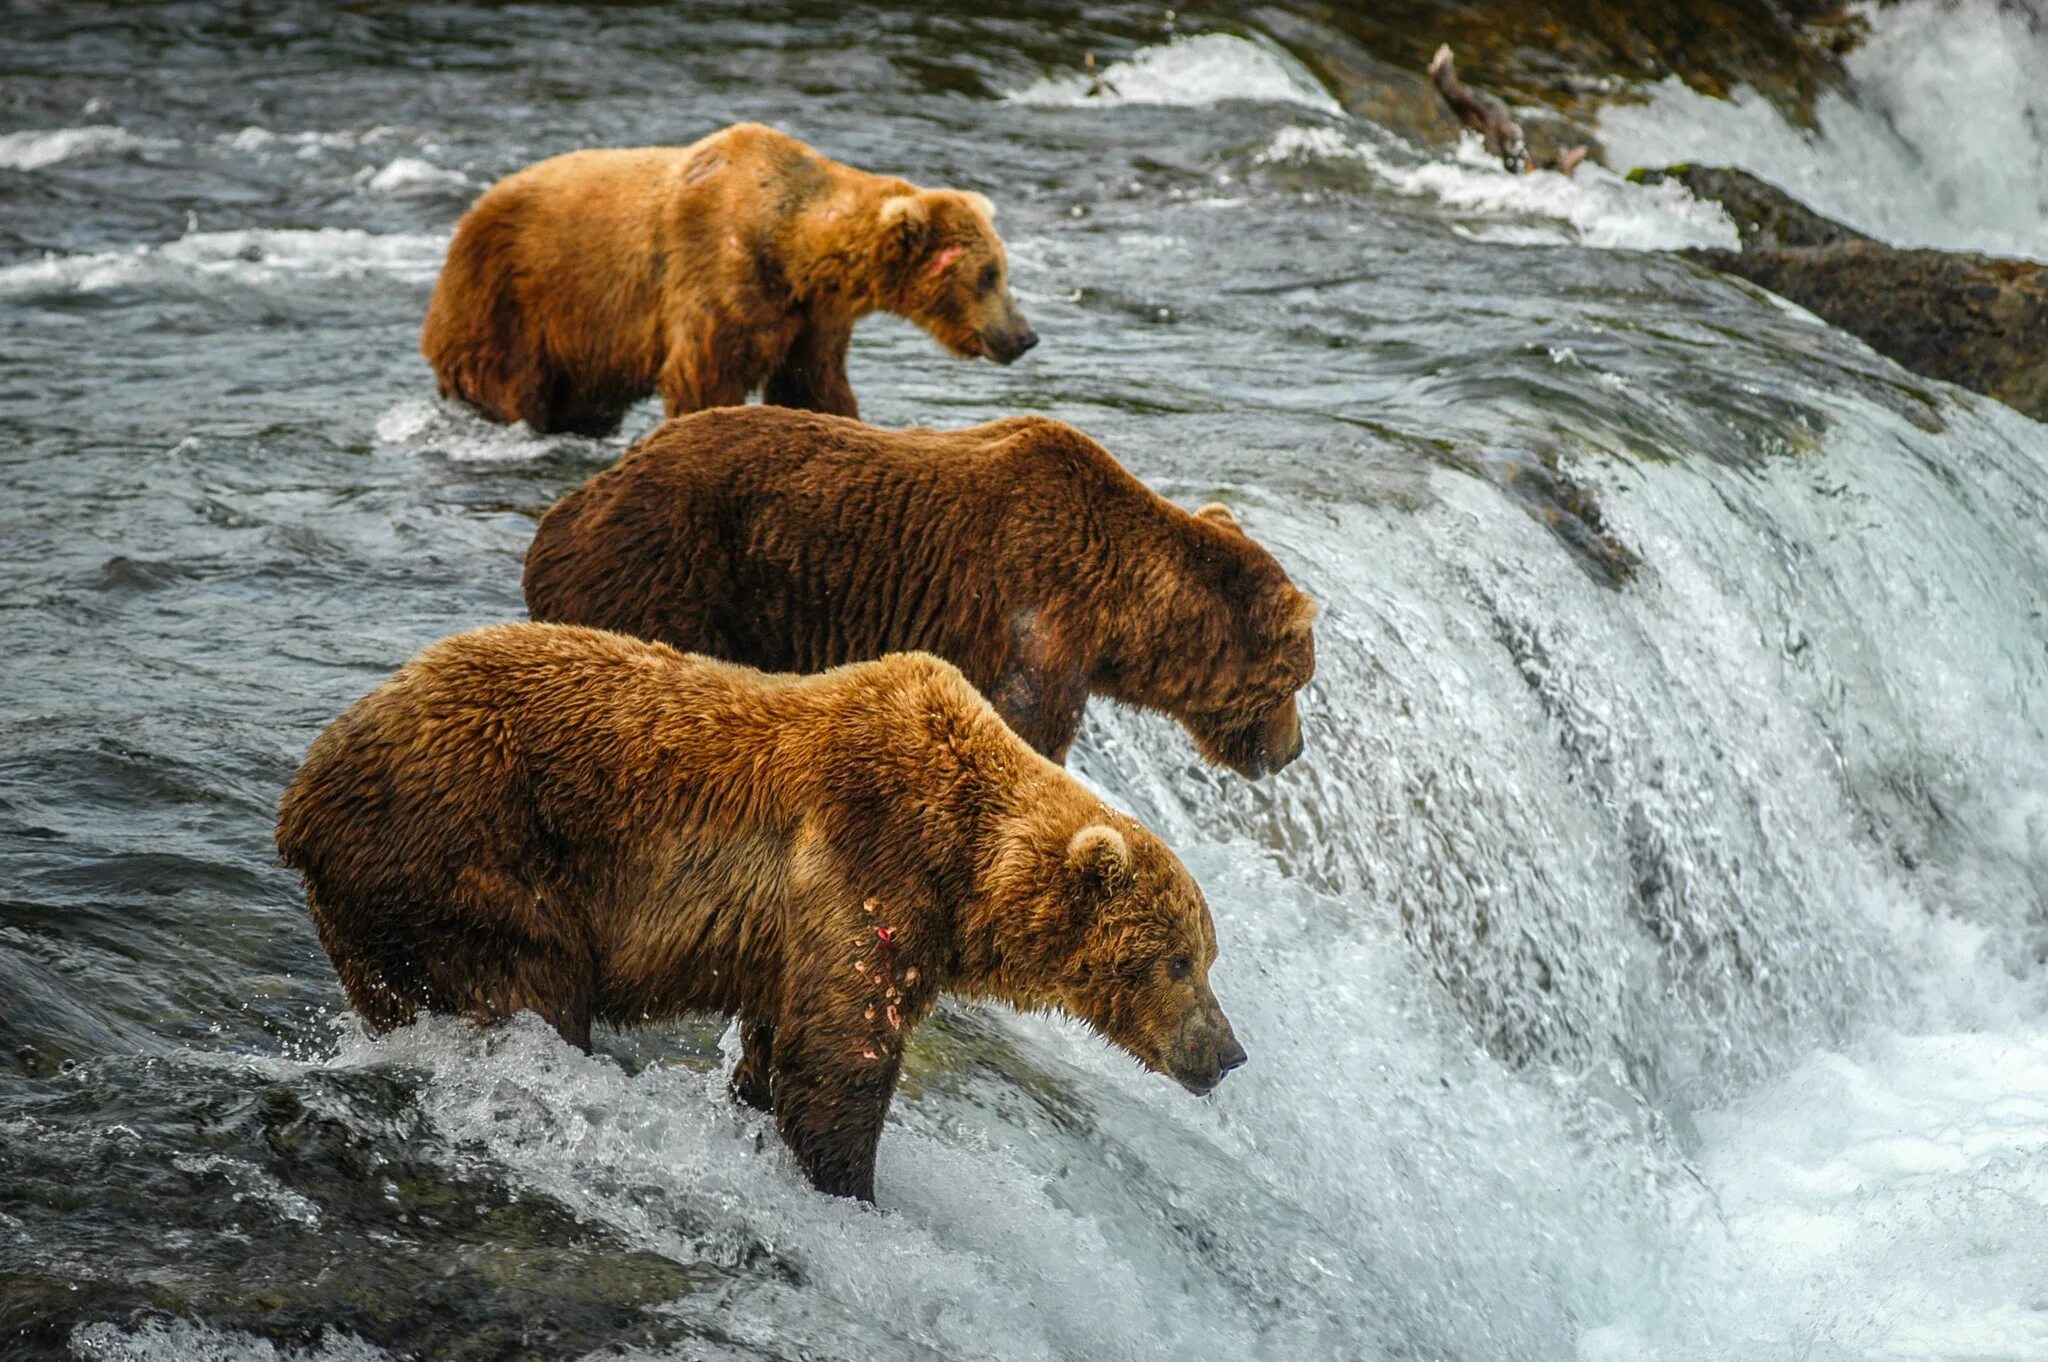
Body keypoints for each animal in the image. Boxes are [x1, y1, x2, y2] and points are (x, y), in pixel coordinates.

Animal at [274, 622, 1245, 1196]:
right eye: (1177, 960)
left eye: (1208, 957)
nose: (1229, 1051)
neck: (968, 872)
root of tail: (305, 790)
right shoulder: (868, 865)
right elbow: (842, 1054)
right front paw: (847, 1186)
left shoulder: (801, 935)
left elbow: (779, 1041)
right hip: (470, 845)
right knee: (526, 988)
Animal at [415, 124, 1032, 436]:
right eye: (988, 274)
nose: (1025, 336)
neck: (790, 246)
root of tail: (468, 214)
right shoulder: (715, 274)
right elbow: (705, 374)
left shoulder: (812, 315)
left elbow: (813, 385)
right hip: (510, 301)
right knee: (507, 384)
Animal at [520, 403, 1318, 774]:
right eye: (1298, 680)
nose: (1295, 749)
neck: (1123, 611)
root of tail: (562, 513)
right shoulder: (1037, 613)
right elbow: (1029, 730)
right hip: (668, 569)